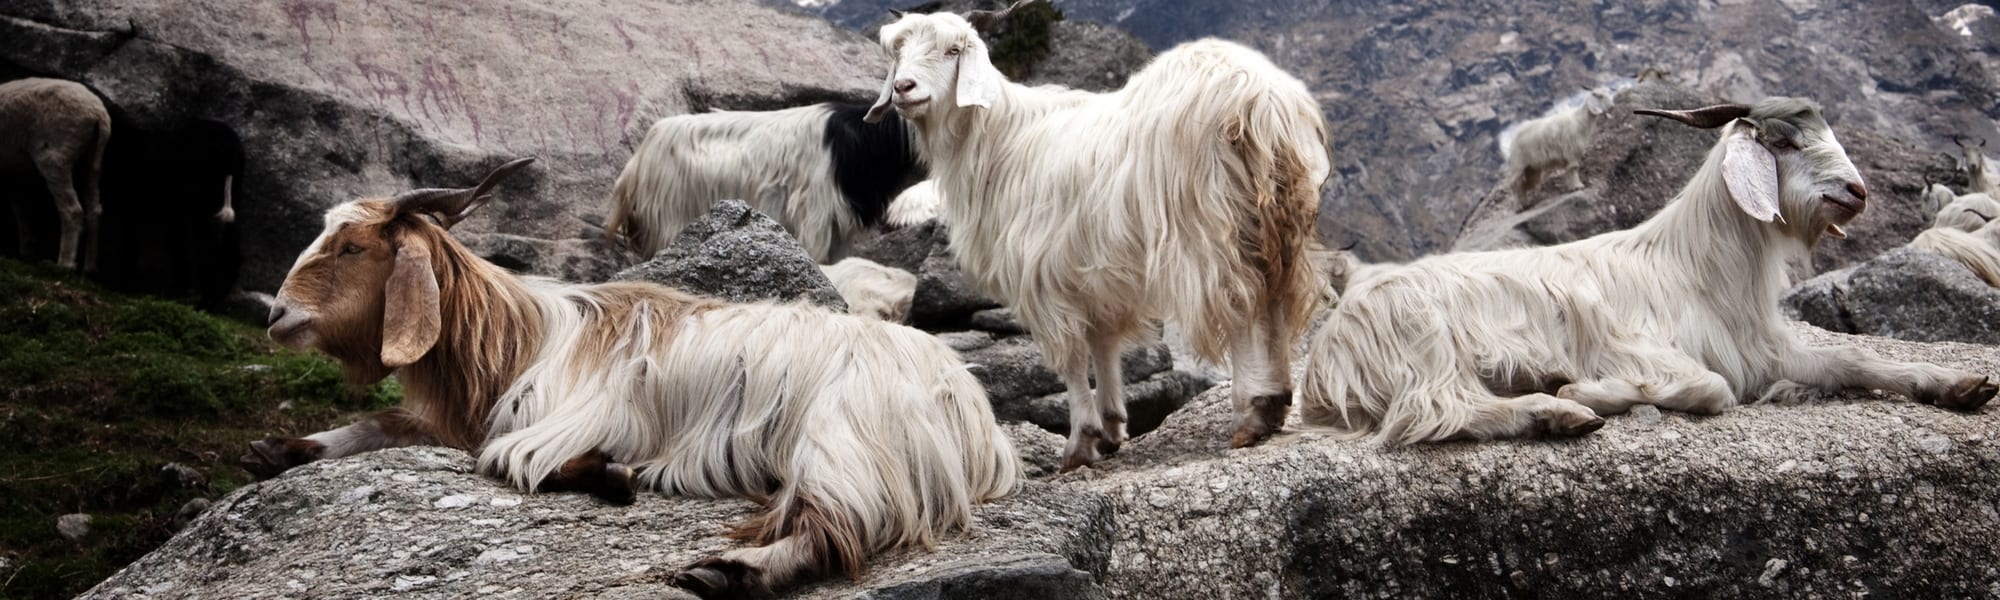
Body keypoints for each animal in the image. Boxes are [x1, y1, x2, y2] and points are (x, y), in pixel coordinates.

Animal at [0, 78, 109, 270]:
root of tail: (98, 114)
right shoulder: (13, 175)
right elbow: (21, 210)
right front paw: (27, 253)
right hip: (92, 160)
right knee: (94, 209)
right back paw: (89, 268)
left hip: (55, 154)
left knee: (72, 210)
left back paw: (64, 264)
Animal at [872, 0, 1328, 468]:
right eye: (897, 51)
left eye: (953, 50)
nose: (904, 88)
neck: (1000, 140)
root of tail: (1260, 99)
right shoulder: (1094, 275)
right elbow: (1103, 344)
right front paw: (1111, 428)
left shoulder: (1041, 277)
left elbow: (1072, 361)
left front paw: (1080, 441)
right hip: (1278, 220)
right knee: (1277, 298)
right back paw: (1275, 402)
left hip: (1209, 226)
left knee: (1239, 304)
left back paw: (1249, 414)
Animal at [1296, 98, 2000, 442]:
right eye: (1782, 141)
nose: (1856, 192)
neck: (1696, 263)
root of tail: (1330, 356)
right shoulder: (1637, 343)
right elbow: (1712, 389)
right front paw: (1583, 391)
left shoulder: (1763, 348)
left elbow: (1854, 360)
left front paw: (1958, 384)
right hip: (1425, 340)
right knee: (1433, 413)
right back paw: (1555, 412)